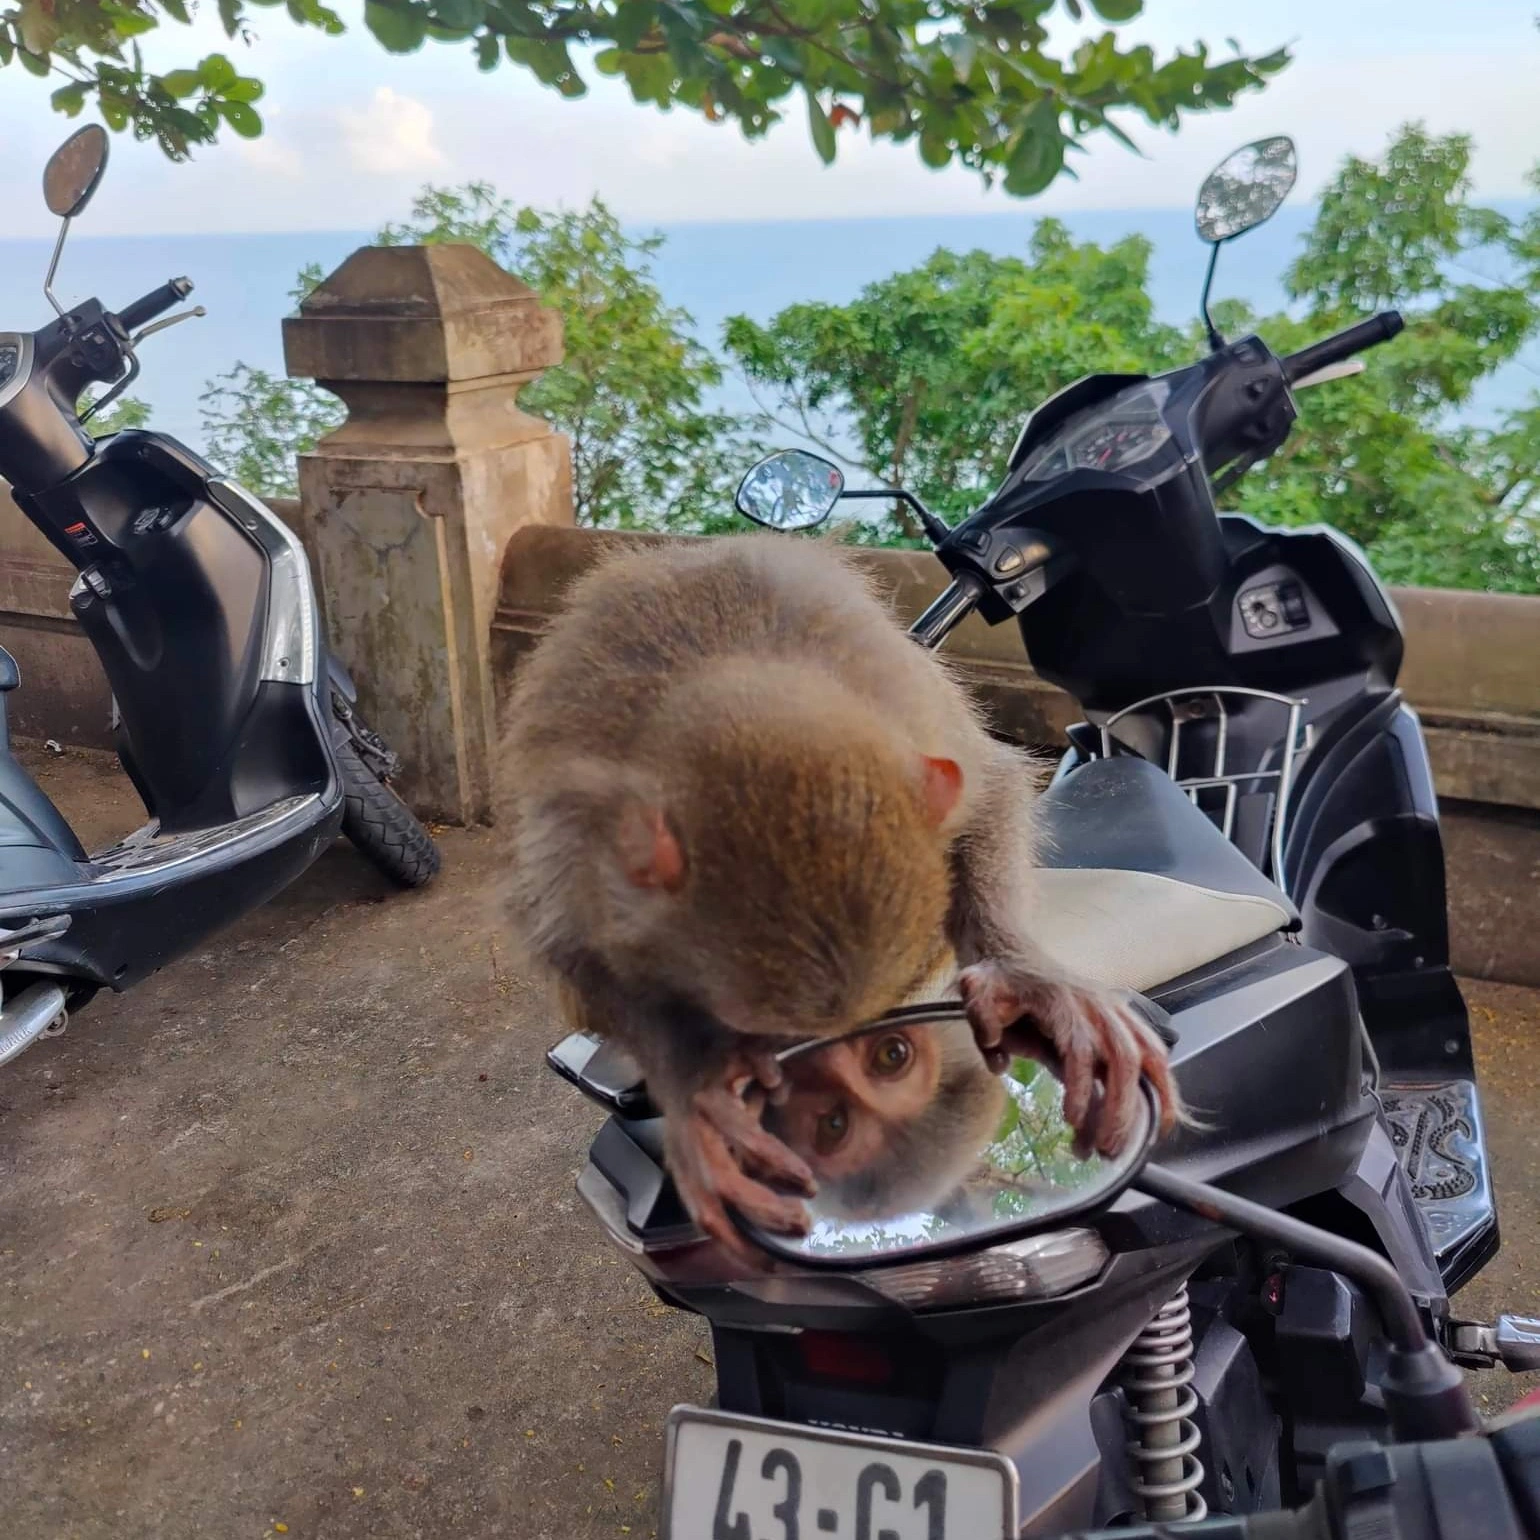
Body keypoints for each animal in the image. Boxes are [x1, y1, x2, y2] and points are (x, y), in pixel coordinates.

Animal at [497, 533, 1178, 1262]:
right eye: (784, 1042)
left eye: (888, 1056)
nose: (814, 1073)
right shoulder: (576, 844)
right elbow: (573, 955)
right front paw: (698, 1085)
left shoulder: (913, 714)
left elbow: (990, 789)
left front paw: (1025, 977)